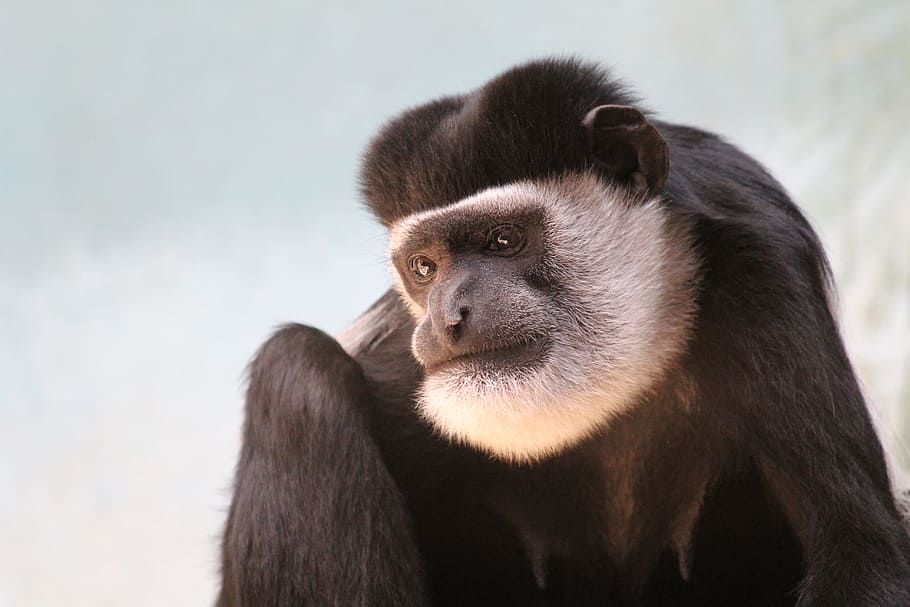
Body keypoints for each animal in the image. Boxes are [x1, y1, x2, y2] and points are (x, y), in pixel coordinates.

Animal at [215, 58, 910, 606]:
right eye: (425, 267)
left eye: (504, 240)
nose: (448, 319)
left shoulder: (765, 276)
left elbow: (861, 554)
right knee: (295, 368)